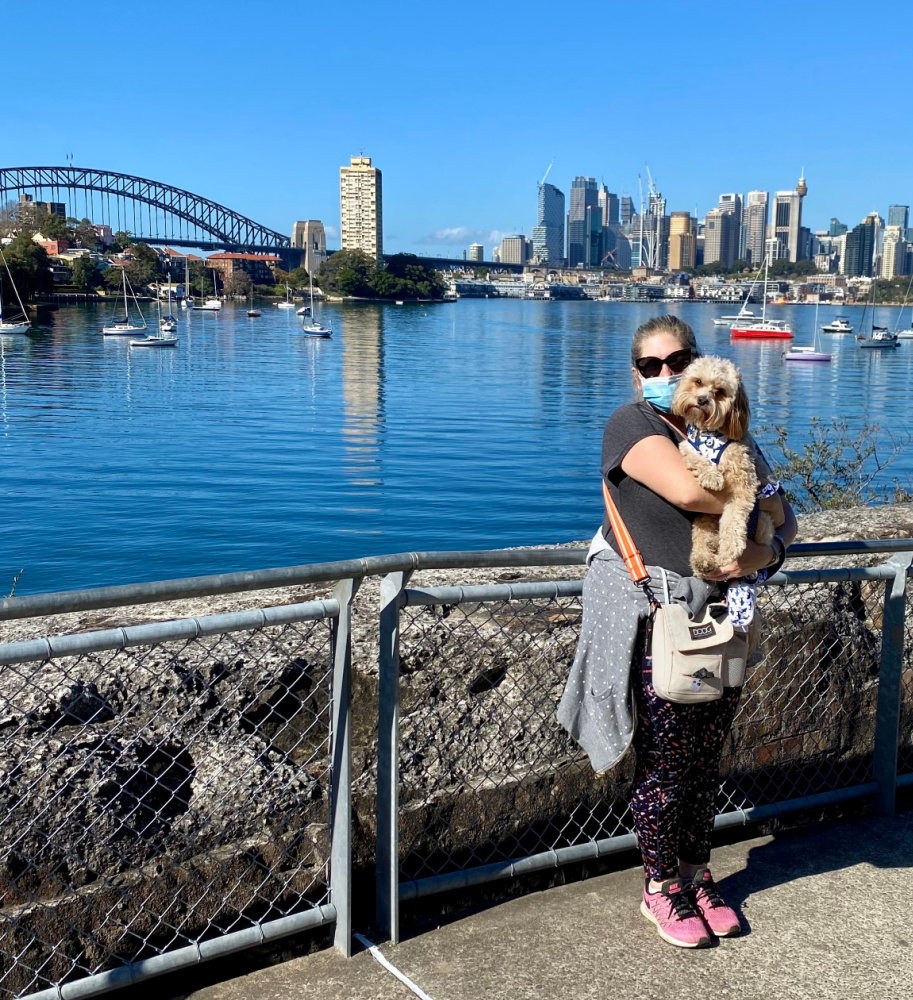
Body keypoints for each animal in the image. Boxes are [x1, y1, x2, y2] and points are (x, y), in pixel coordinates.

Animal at [668, 358, 768, 580]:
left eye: (720, 391)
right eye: (698, 381)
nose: (701, 400)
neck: (709, 435)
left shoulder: (744, 485)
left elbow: (733, 519)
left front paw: (730, 549)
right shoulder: (687, 446)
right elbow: (695, 457)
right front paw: (711, 476)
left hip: (763, 521)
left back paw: (717, 545)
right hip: (703, 518)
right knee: (701, 537)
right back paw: (702, 559)